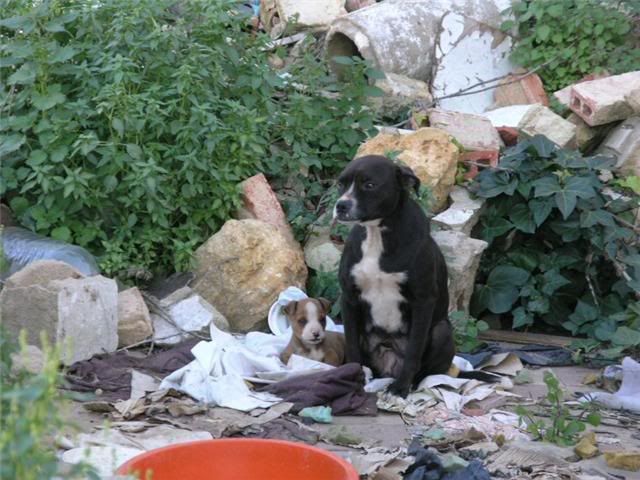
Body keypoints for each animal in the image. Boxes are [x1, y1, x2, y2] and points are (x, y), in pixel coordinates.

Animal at [336, 155, 456, 398]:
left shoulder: (423, 300)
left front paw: (400, 388)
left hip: (442, 330)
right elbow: (352, 344)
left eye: (369, 184)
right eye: (341, 184)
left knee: (424, 369)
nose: (341, 205)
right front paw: (353, 378)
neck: (376, 235)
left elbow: (414, 350)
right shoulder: (349, 298)